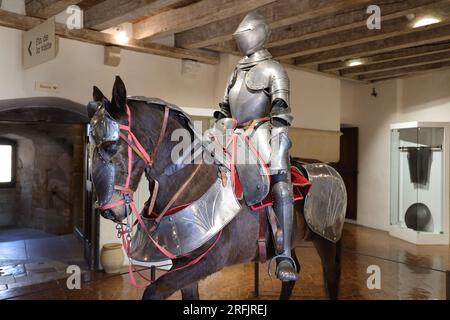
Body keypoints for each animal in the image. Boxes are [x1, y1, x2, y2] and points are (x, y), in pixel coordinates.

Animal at [89, 77, 342, 300]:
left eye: (111, 145)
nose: (108, 211)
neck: (189, 182)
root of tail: (326, 167)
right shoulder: (185, 264)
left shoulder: (208, 262)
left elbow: (152, 291)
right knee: (292, 270)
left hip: (327, 241)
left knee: (331, 277)